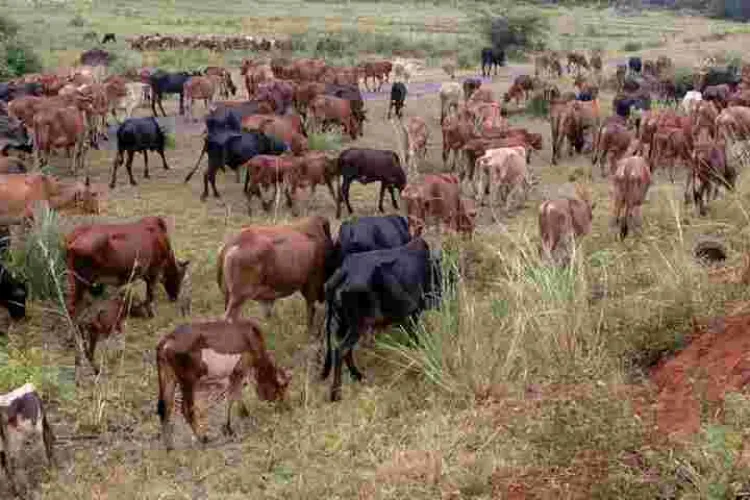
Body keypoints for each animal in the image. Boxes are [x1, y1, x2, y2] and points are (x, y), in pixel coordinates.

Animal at [156, 320, 291, 450]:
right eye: (281, 389)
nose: (285, 408)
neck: (252, 338)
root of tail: (166, 341)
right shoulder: (239, 370)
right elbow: (233, 397)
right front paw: (234, 424)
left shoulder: (230, 376)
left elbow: (233, 396)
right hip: (188, 380)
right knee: (186, 409)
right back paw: (203, 438)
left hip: (168, 377)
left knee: (164, 407)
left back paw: (169, 446)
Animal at [322, 236, 439, 401]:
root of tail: (344, 272)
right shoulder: (412, 315)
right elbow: (415, 340)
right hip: (358, 324)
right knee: (341, 350)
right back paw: (336, 393)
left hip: (344, 323)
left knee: (344, 350)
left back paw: (357, 376)